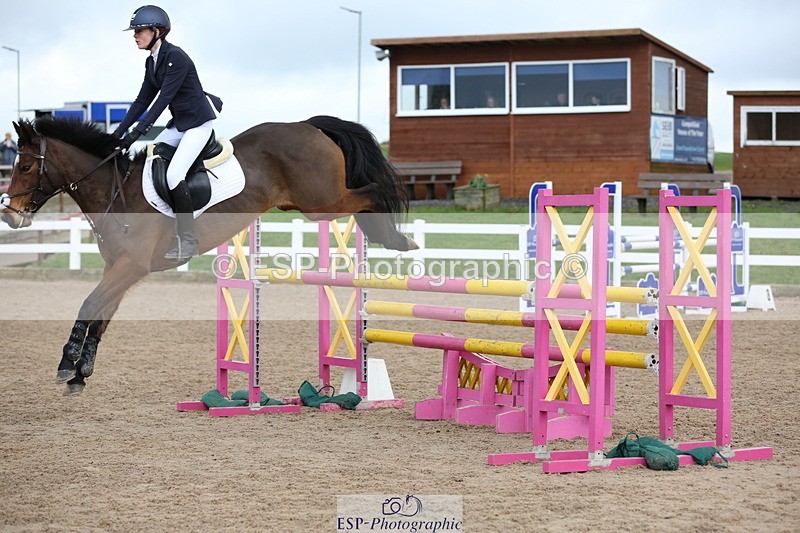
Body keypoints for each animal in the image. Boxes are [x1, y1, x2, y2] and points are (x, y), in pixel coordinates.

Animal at [1, 115, 417, 395]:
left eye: (25, 166)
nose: (10, 214)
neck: (115, 191)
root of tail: (308, 125)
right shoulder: (117, 268)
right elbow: (101, 316)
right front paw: (79, 373)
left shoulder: (130, 266)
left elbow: (89, 305)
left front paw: (65, 362)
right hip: (314, 203)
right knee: (363, 197)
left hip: (320, 202)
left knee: (371, 190)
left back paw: (400, 239)